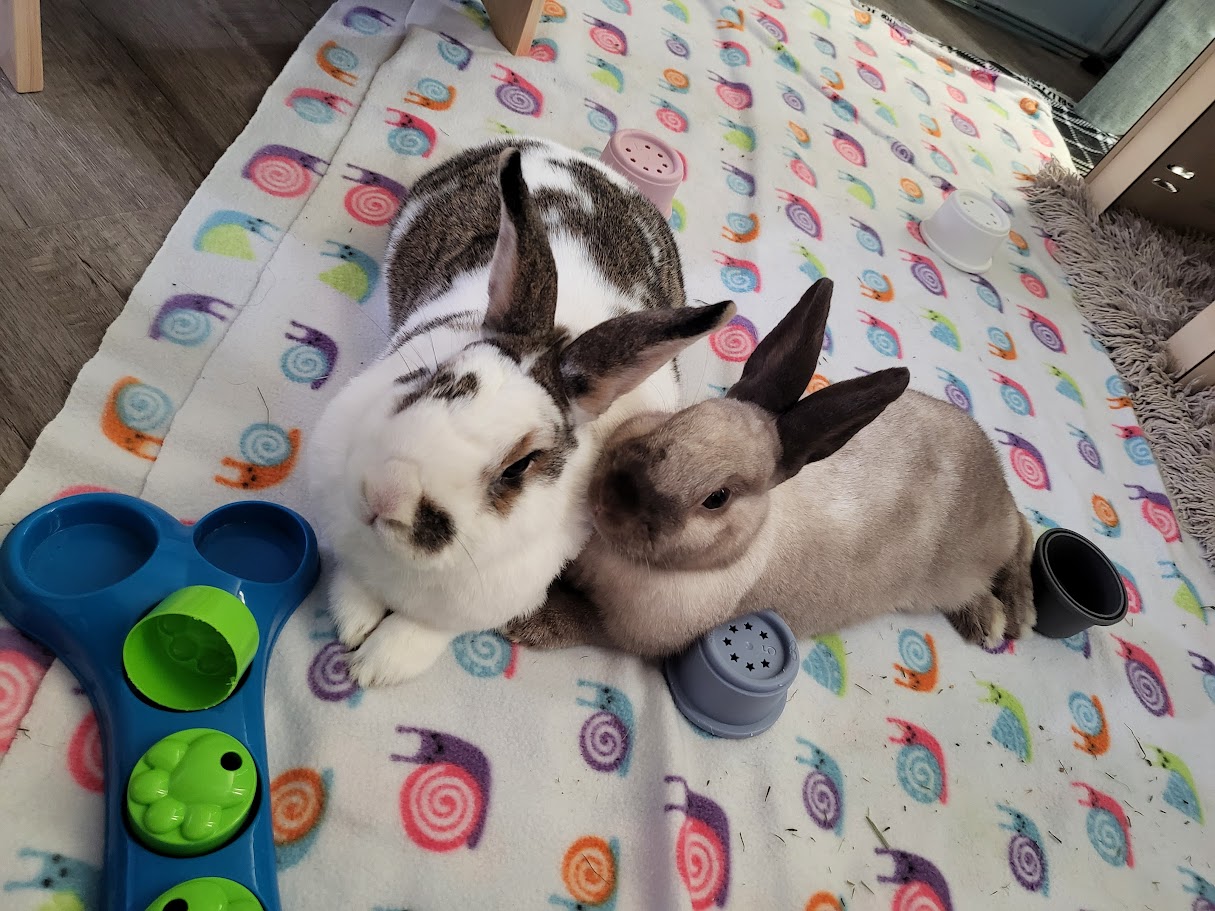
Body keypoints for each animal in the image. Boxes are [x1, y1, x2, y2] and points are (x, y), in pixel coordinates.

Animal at [307, 138, 735, 686]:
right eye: (433, 378)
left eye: (519, 467)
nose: (387, 493)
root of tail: (568, 153)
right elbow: (355, 583)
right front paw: (352, 624)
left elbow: (425, 630)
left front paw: (374, 666)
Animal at [504, 278, 1036, 657]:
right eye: (677, 420)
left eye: (717, 499)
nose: (612, 499)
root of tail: (992, 465)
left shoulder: (634, 633)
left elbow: (585, 623)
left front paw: (529, 623)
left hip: (971, 552)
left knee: (1022, 535)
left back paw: (1006, 617)